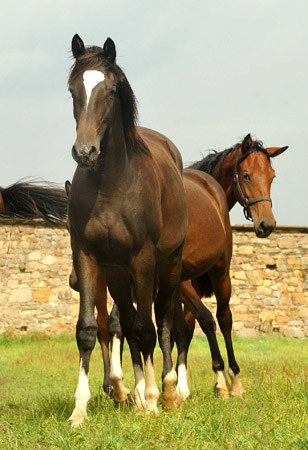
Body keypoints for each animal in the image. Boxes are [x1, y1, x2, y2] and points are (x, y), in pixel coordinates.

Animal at [67, 34, 188, 426]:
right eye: (73, 89)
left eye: (110, 89)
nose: (85, 151)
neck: (111, 185)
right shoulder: (88, 257)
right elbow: (90, 330)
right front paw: (80, 409)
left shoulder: (144, 259)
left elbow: (148, 330)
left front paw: (152, 400)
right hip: (119, 275)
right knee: (130, 325)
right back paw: (134, 393)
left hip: (168, 266)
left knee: (163, 322)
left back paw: (167, 393)